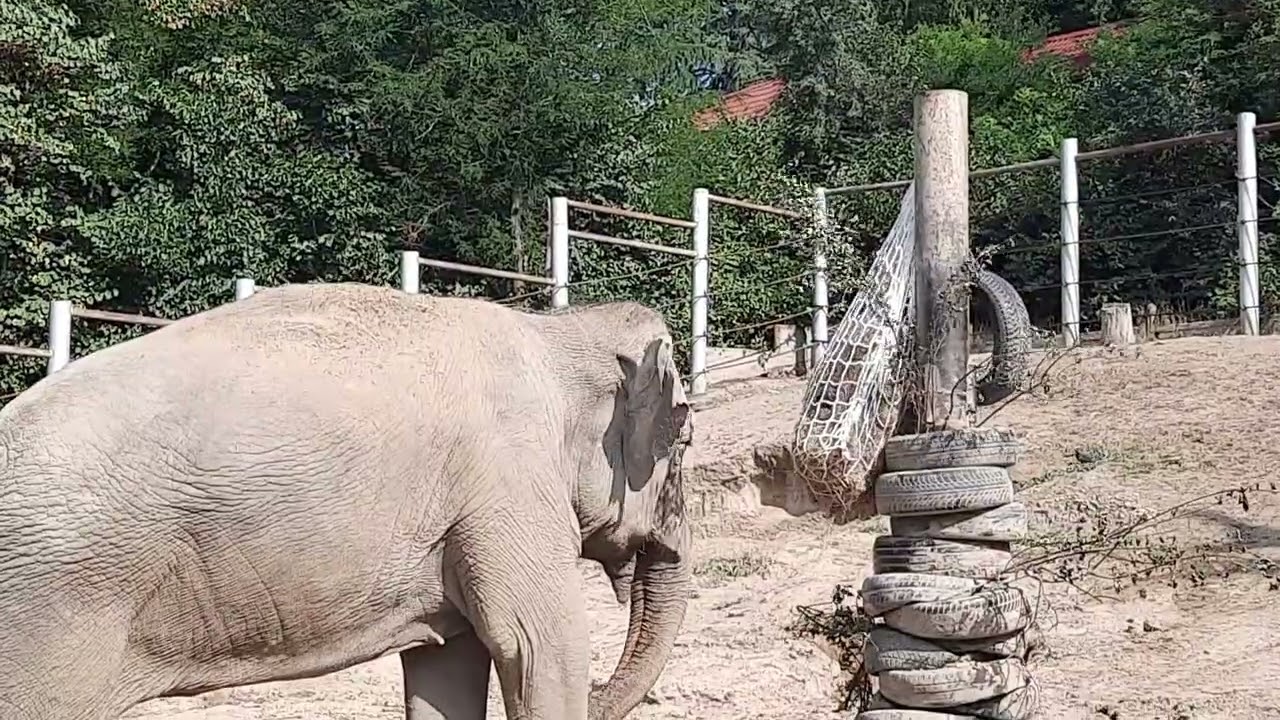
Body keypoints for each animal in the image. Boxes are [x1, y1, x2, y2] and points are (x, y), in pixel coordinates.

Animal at [0, 282, 694, 720]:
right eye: (684, 438)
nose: (604, 698)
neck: (556, 332)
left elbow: (447, 661)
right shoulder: (509, 489)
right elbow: (542, 647)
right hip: (49, 613)